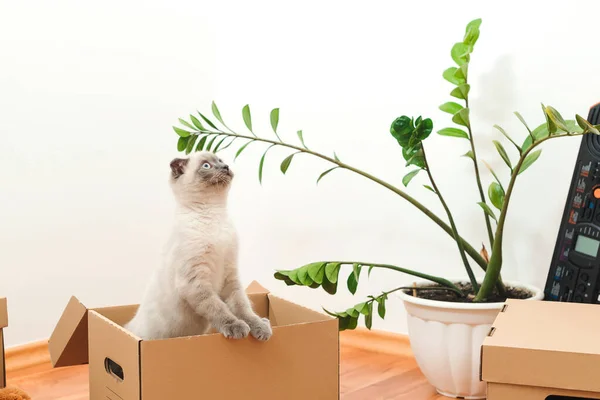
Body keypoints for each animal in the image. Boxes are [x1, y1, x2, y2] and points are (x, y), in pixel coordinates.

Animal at [125, 151, 274, 340]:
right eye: (206, 166)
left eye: (220, 161)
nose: (225, 167)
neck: (214, 213)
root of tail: (127, 327)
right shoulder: (196, 282)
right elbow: (219, 308)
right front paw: (237, 327)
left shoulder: (230, 277)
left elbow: (243, 308)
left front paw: (260, 327)